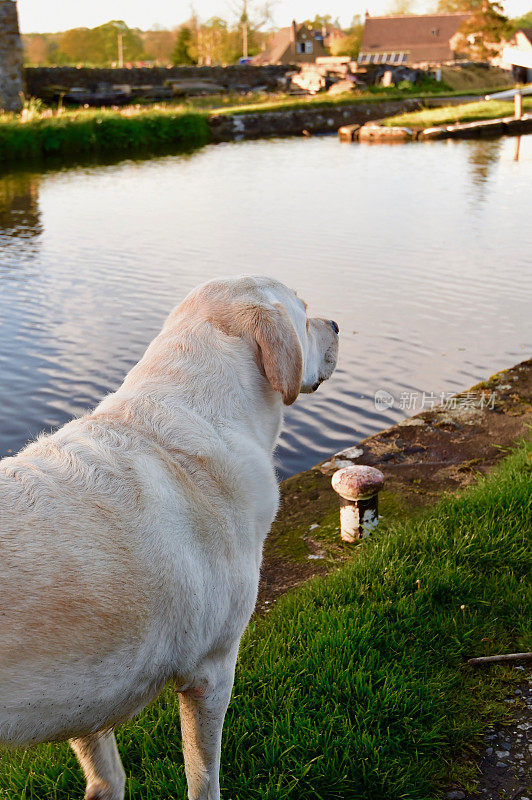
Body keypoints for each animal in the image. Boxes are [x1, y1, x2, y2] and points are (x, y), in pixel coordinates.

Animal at [0, 276, 338, 800]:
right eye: (304, 312)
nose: (338, 324)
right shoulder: (211, 672)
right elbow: (203, 777)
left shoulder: (85, 696)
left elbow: (107, 776)